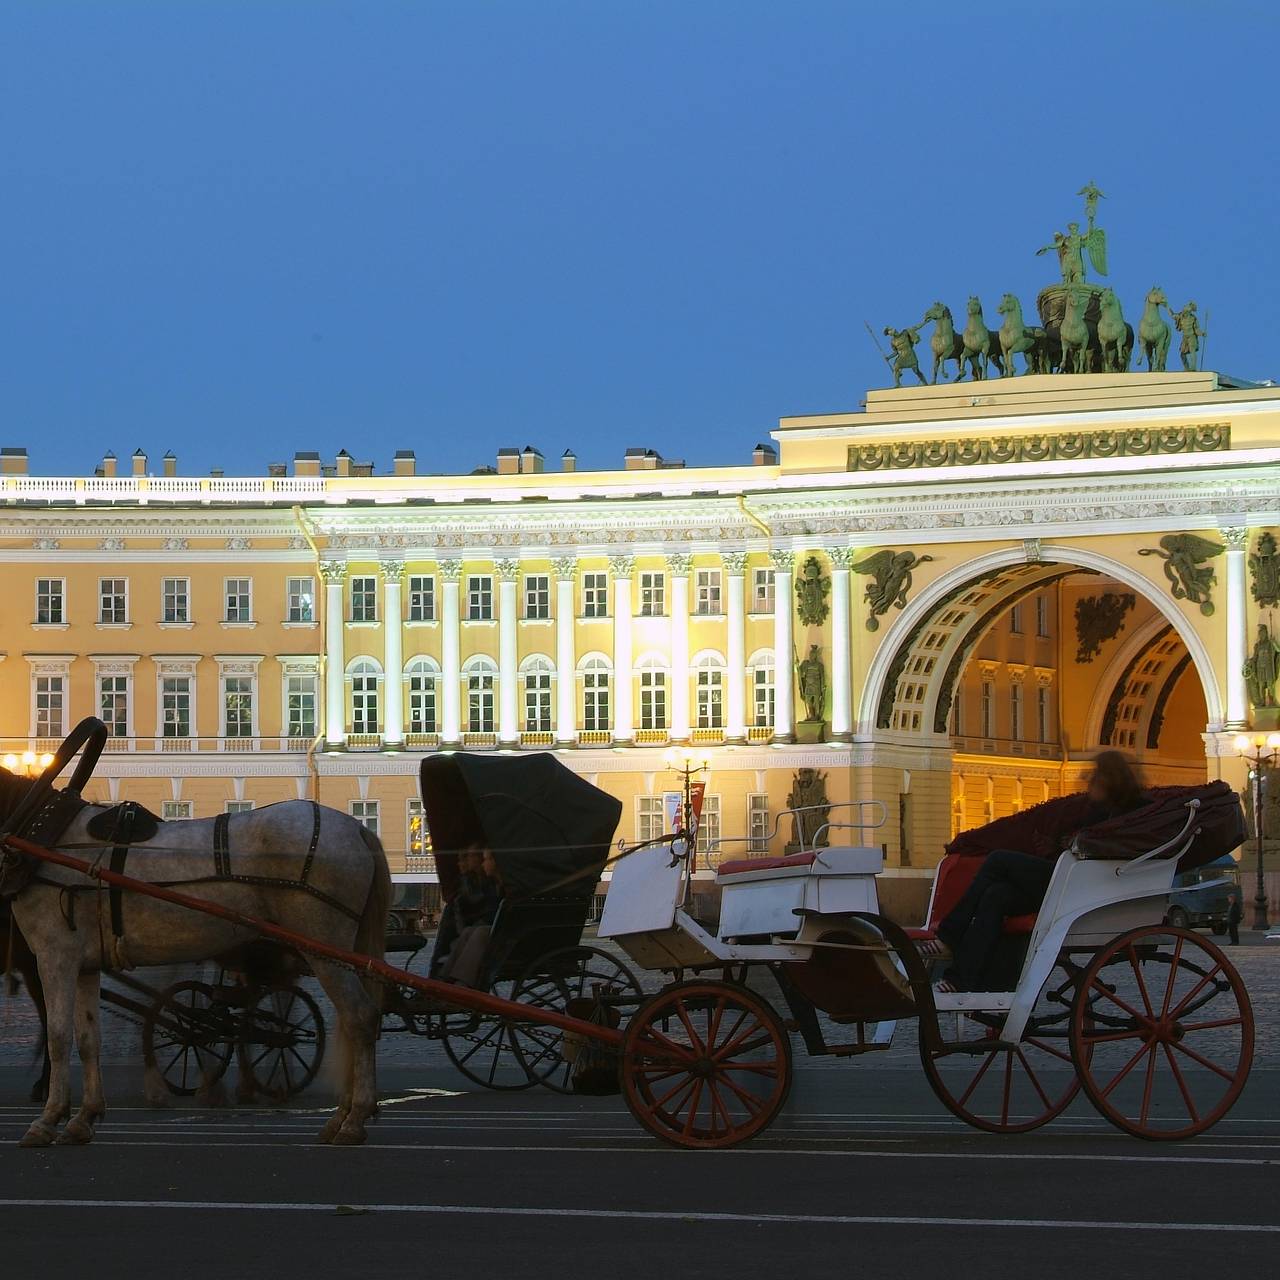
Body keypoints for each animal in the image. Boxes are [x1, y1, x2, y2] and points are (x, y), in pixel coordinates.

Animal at [2, 768, 389, 1152]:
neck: (48, 840)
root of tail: (357, 828)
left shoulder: (54, 956)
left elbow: (57, 1038)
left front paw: (48, 1118)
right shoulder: (84, 965)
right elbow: (87, 1040)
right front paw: (84, 1118)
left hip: (324, 947)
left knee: (360, 1017)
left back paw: (354, 1119)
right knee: (350, 1021)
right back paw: (339, 1116)